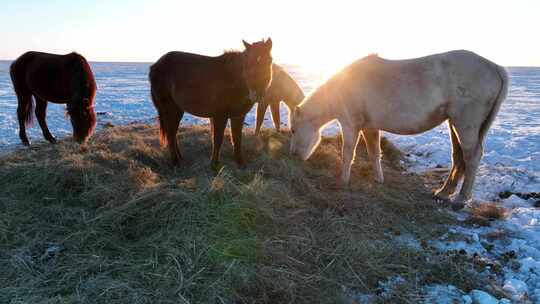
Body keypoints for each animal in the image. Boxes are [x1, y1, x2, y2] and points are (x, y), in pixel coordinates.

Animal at [149, 38, 272, 167]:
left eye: (269, 61)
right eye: (247, 63)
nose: (257, 94)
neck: (233, 78)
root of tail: (154, 67)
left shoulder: (238, 116)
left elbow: (237, 139)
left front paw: (240, 162)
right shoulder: (219, 116)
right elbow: (218, 139)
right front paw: (215, 164)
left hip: (178, 110)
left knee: (173, 133)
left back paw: (180, 158)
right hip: (169, 109)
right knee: (170, 134)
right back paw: (175, 162)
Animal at [288, 51, 508, 210]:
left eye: (293, 130)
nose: (293, 156)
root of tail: (496, 68)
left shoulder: (350, 124)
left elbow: (347, 153)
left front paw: (343, 181)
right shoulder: (370, 127)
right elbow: (374, 153)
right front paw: (378, 179)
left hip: (465, 124)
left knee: (472, 156)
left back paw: (461, 199)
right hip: (454, 124)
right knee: (459, 156)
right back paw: (444, 192)